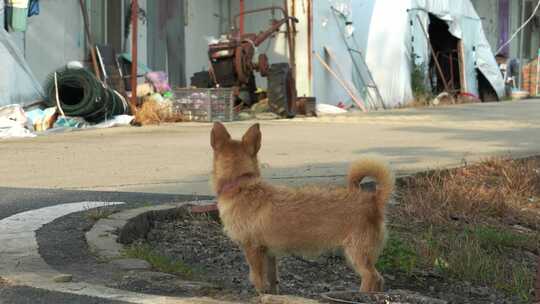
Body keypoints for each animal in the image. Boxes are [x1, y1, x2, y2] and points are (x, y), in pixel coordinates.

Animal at [210, 121, 392, 294]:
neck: (241, 184)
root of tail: (373, 198)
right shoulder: (269, 254)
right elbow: (272, 281)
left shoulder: (253, 250)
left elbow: (259, 281)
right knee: (379, 279)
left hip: (356, 253)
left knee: (371, 277)